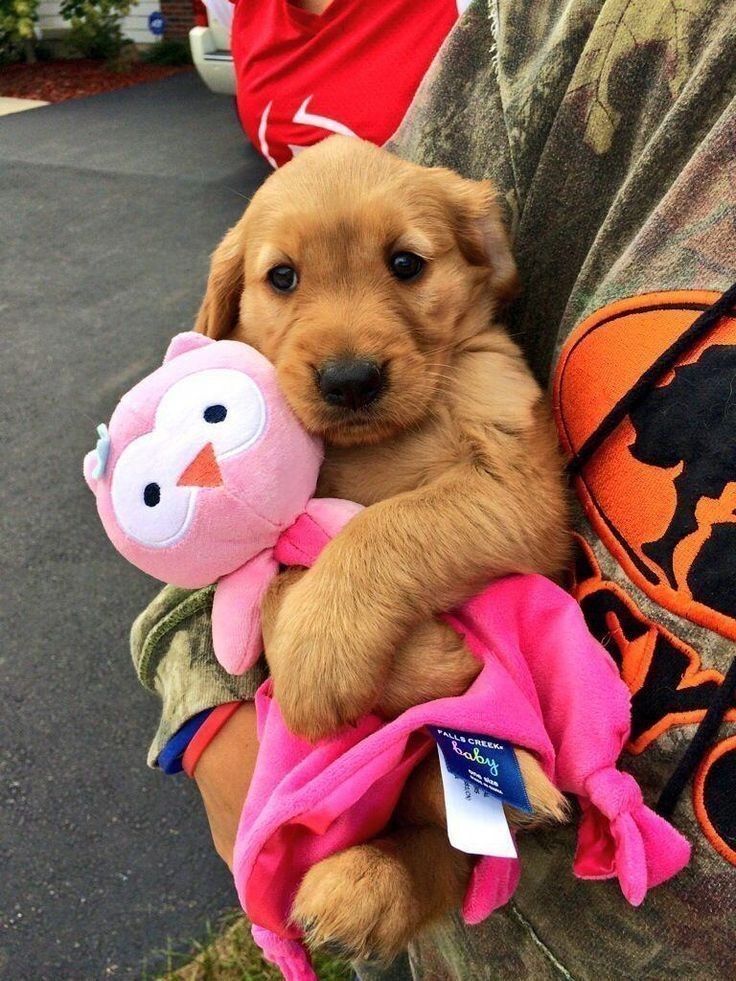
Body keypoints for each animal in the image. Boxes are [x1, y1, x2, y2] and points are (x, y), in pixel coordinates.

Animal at [196, 136, 568, 956]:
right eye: (283, 276)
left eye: (406, 263)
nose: (350, 380)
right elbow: (278, 579)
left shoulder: (518, 488)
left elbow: (386, 526)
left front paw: (319, 654)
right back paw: (366, 886)